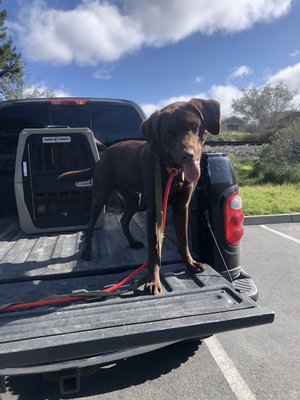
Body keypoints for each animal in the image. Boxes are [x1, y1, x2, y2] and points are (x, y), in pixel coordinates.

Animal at [58, 98, 220, 294]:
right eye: (168, 134)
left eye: (193, 126)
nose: (187, 156)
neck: (171, 170)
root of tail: (103, 157)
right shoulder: (154, 211)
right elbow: (154, 249)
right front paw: (152, 281)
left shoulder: (182, 206)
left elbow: (184, 241)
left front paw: (190, 264)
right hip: (101, 196)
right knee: (90, 225)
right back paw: (87, 251)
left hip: (134, 198)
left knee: (124, 220)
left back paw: (132, 242)